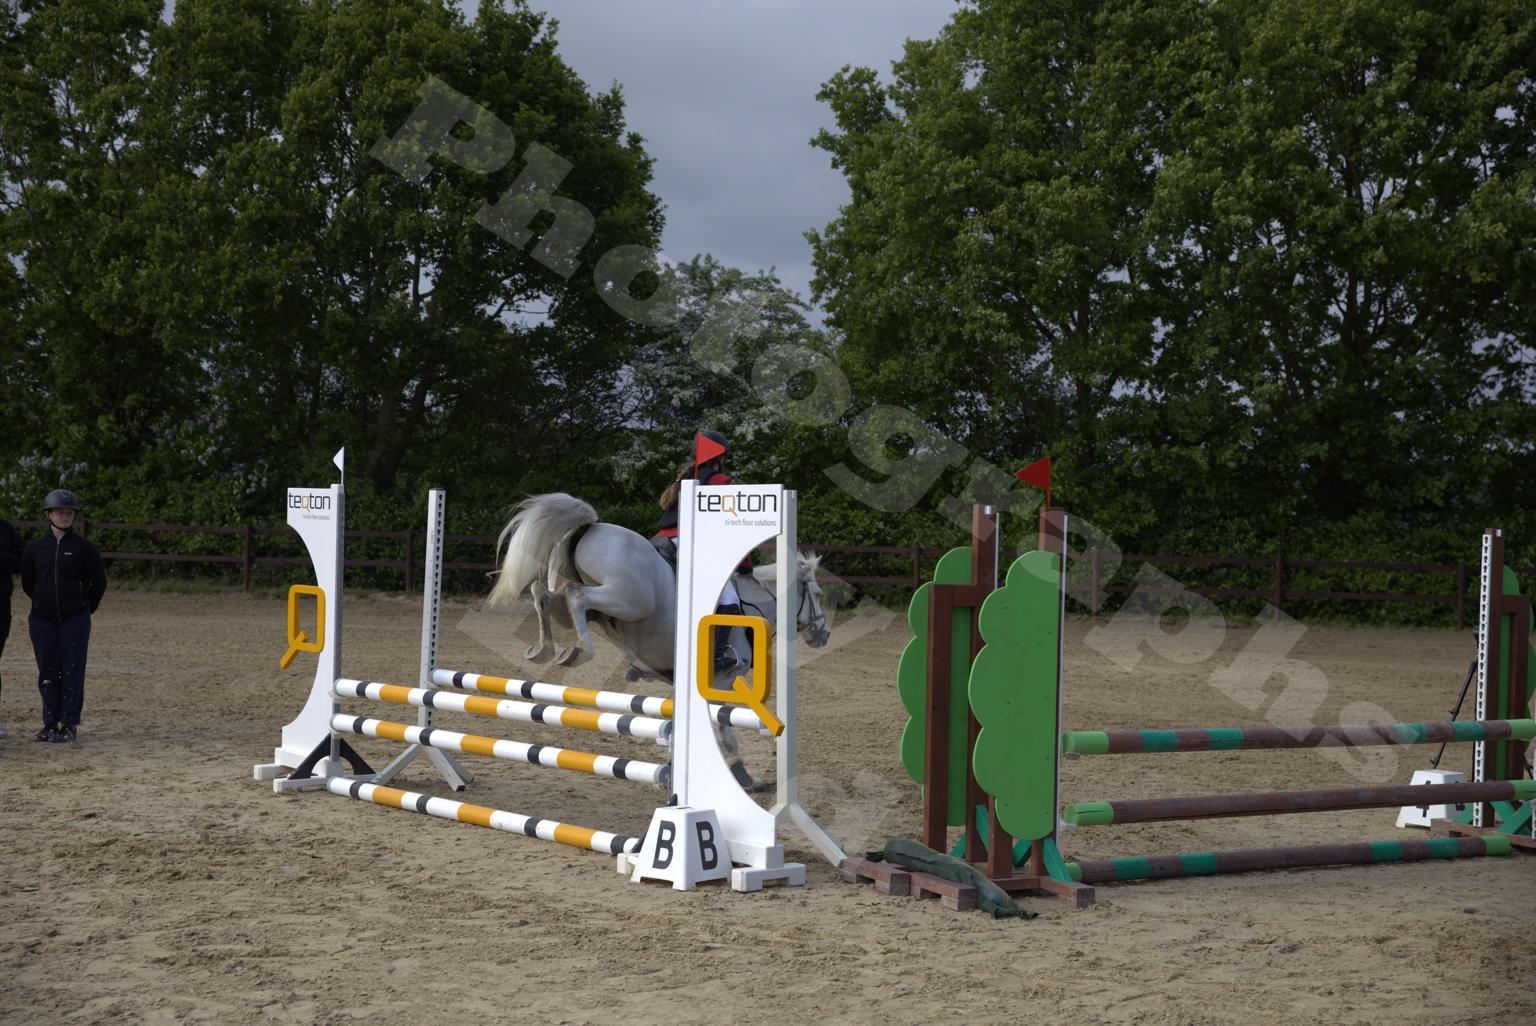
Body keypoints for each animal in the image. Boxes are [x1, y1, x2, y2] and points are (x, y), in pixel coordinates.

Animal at [486, 492, 830, 789]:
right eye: (817, 593)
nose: (824, 635)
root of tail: (591, 526)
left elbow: (681, 730)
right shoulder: (720, 681)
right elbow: (725, 731)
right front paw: (744, 778)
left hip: (583, 605)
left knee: (543, 595)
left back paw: (544, 650)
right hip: (631, 599)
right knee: (576, 596)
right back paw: (579, 651)